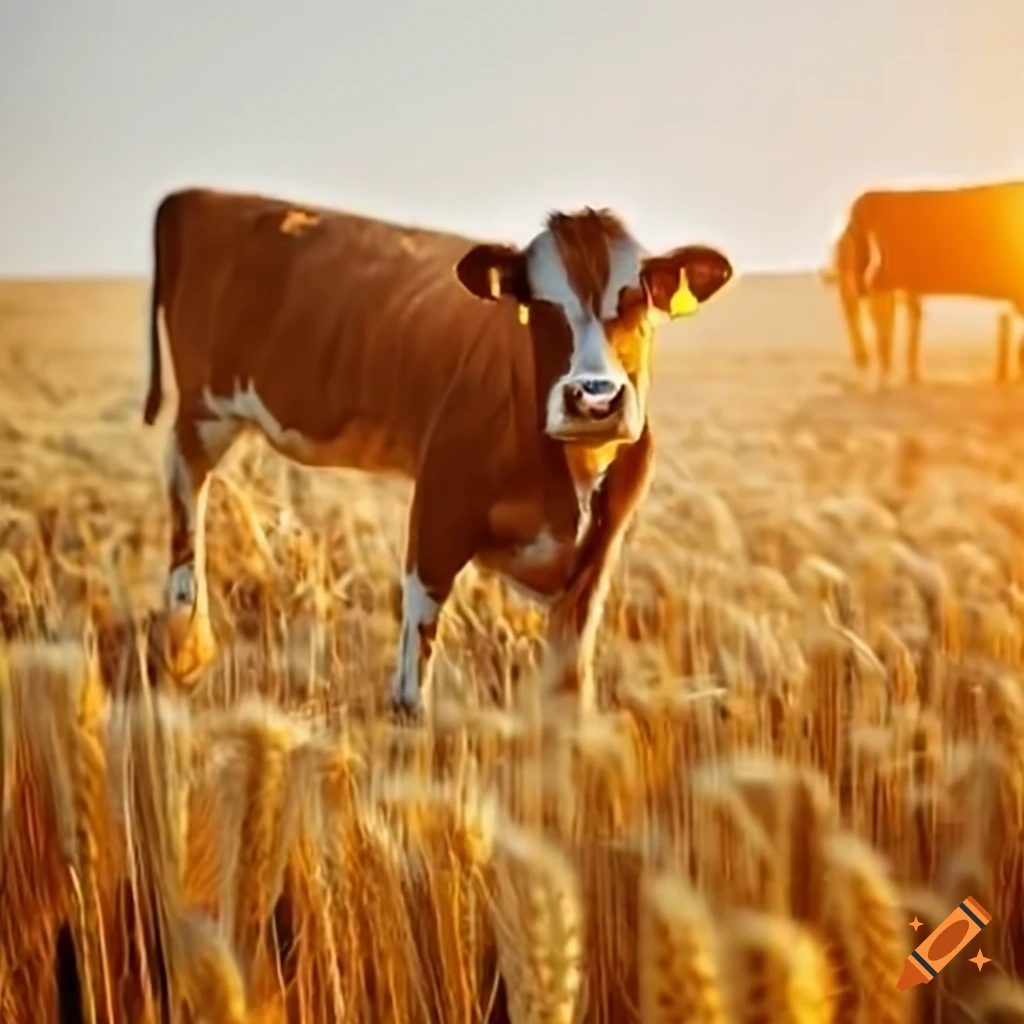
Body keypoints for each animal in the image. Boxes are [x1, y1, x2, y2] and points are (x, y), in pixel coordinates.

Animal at [142, 187, 733, 717]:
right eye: (539, 304)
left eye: (636, 300)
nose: (594, 398)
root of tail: (193, 195)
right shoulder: (438, 511)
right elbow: (414, 670)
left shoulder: (594, 561)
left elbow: (569, 689)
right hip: (203, 414)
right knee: (185, 498)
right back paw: (185, 644)